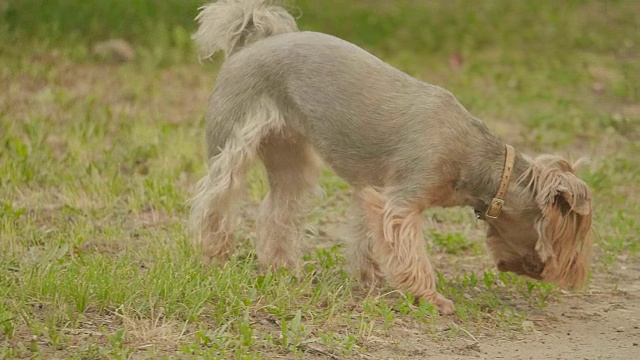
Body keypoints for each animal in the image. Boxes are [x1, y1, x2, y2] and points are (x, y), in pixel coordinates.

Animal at [188, 0, 592, 316]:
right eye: (574, 240)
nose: (575, 278)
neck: (481, 165)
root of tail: (247, 45)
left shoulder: (372, 192)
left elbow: (367, 240)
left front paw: (370, 281)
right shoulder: (400, 202)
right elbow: (412, 254)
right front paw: (432, 298)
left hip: (290, 158)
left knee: (276, 212)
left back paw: (282, 268)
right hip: (232, 146)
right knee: (214, 203)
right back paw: (214, 259)